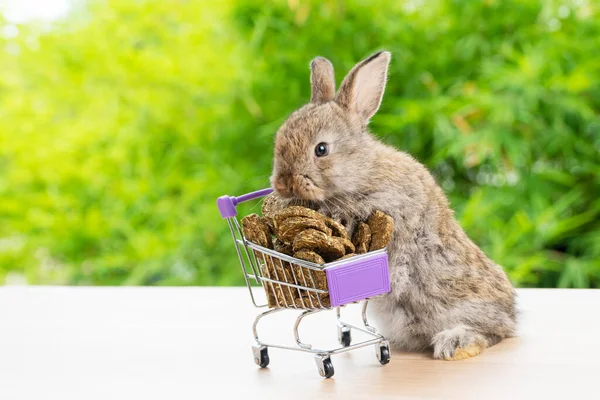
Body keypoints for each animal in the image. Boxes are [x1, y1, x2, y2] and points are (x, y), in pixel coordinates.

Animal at [268, 50, 516, 360]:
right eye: (279, 139)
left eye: (321, 149)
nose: (282, 184)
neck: (361, 170)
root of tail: (512, 313)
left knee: (491, 332)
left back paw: (455, 344)